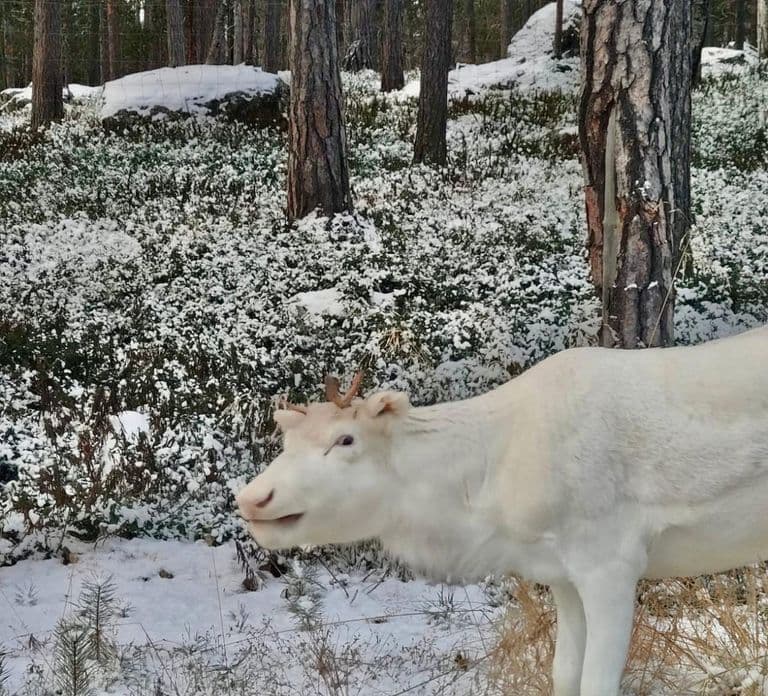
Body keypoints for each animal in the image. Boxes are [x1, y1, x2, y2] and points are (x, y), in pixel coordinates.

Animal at [236, 324, 768, 696]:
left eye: (345, 439)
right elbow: (563, 674)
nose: (251, 498)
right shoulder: (562, 575)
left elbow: (597, 683)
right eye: (287, 441)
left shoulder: (611, 562)